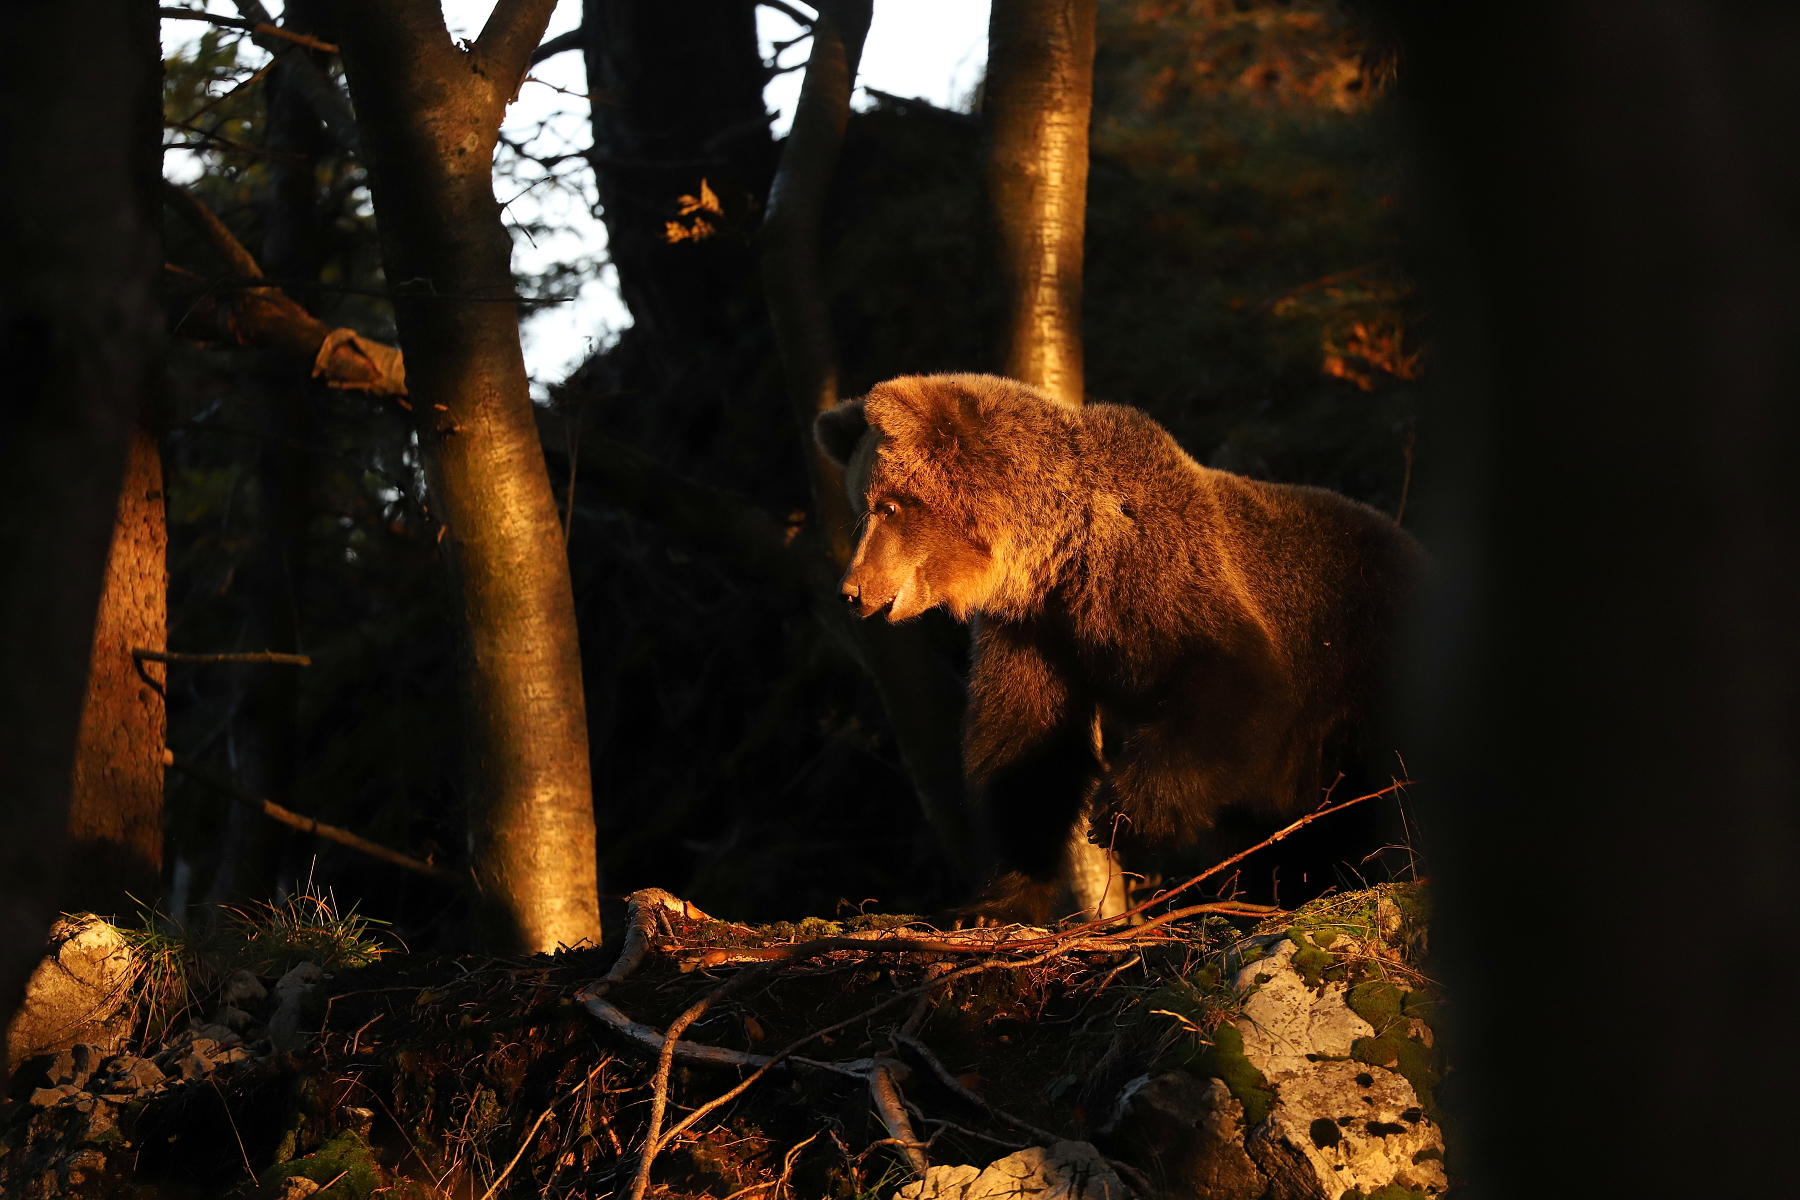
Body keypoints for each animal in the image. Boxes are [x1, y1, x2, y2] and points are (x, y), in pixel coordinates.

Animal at [817, 370, 1418, 913]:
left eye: (889, 505)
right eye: (862, 505)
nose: (851, 591)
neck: (1059, 556)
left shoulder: (1156, 576)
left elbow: (1232, 678)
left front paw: (1121, 815)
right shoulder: (1036, 633)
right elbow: (1028, 751)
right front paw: (997, 901)